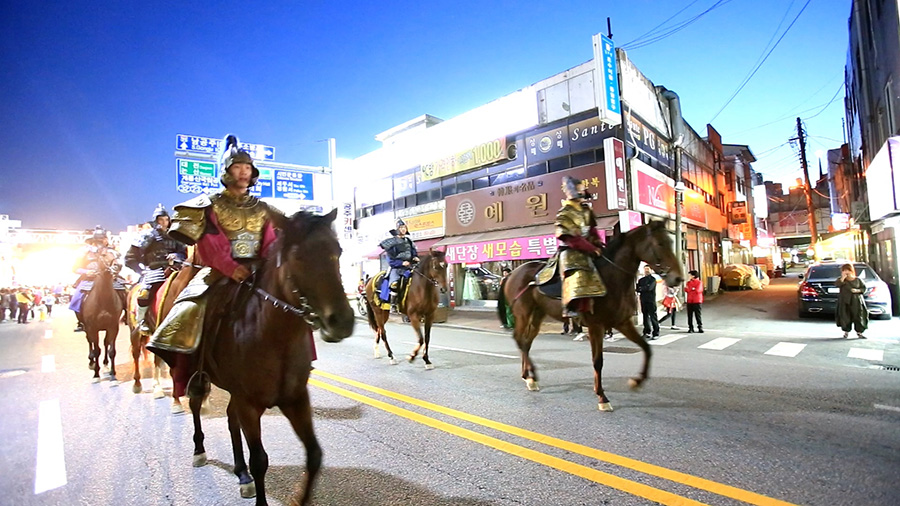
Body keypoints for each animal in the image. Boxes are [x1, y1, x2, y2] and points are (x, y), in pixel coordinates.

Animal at [80, 253, 125, 384]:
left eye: (117, 254)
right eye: (104, 254)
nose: (117, 265)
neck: (103, 299)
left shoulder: (113, 327)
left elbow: (111, 351)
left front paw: (113, 375)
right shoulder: (92, 328)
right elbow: (96, 350)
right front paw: (96, 374)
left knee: (105, 343)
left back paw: (105, 364)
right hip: (87, 329)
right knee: (90, 342)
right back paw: (91, 362)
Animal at [178, 210, 354, 506]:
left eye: (337, 252)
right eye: (298, 257)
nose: (341, 322)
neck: (275, 338)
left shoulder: (295, 398)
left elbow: (314, 455)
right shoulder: (249, 404)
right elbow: (259, 460)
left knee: (230, 418)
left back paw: (241, 472)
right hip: (200, 377)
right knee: (195, 404)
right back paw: (199, 451)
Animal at [500, 221, 684, 412]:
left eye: (671, 242)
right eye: (660, 244)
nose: (678, 278)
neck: (611, 279)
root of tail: (512, 274)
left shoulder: (622, 322)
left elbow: (647, 349)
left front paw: (637, 381)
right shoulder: (596, 325)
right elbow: (598, 361)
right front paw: (602, 397)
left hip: (538, 313)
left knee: (526, 342)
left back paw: (530, 376)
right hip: (523, 313)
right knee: (520, 339)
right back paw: (530, 378)